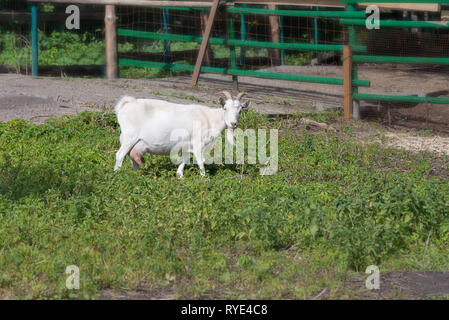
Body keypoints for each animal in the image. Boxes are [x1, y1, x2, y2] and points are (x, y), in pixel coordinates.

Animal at [113, 91, 248, 179]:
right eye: (225, 108)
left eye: (240, 110)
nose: (233, 123)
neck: (209, 118)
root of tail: (126, 104)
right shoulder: (198, 143)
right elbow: (201, 161)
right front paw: (204, 178)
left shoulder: (186, 144)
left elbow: (185, 159)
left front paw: (180, 175)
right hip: (129, 136)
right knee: (120, 155)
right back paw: (117, 173)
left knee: (132, 156)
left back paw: (138, 175)